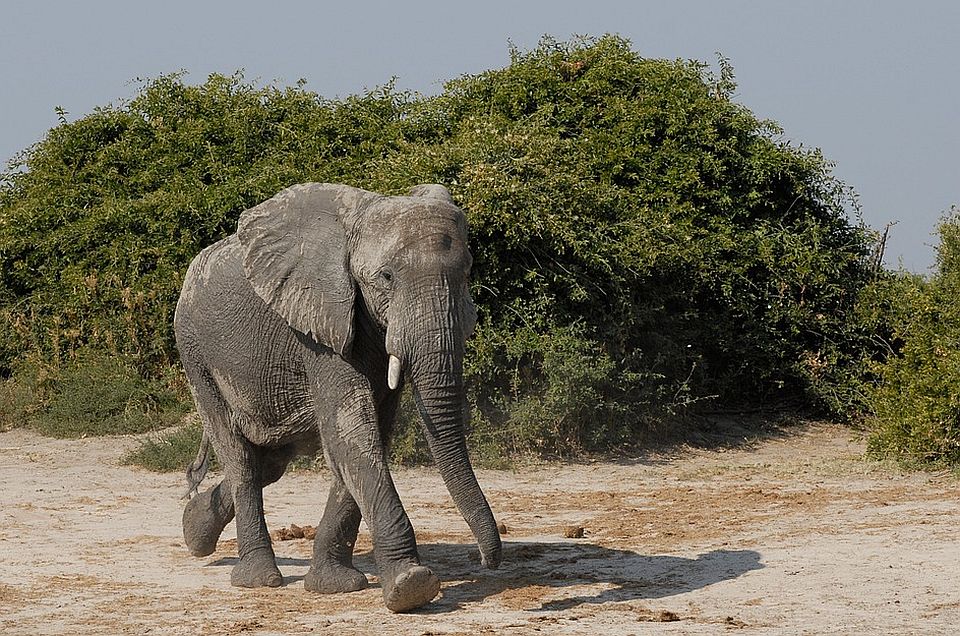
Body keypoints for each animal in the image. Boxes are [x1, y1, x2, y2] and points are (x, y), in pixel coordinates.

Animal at [173, 183, 502, 612]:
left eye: (466, 274)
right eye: (386, 277)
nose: (485, 560)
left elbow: (367, 436)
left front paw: (335, 586)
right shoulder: (319, 324)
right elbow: (351, 431)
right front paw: (411, 586)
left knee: (269, 463)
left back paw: (193, 527)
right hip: (195, 354)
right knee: (240, 458)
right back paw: (258, 579)